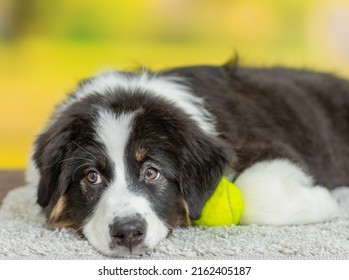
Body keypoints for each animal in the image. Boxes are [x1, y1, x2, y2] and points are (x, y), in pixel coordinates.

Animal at [27, 63, 348, 256]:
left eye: (152, 172)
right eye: (91, 176)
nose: (128, 233)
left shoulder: (271, 146)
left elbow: (257, 194)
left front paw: (329, 201)